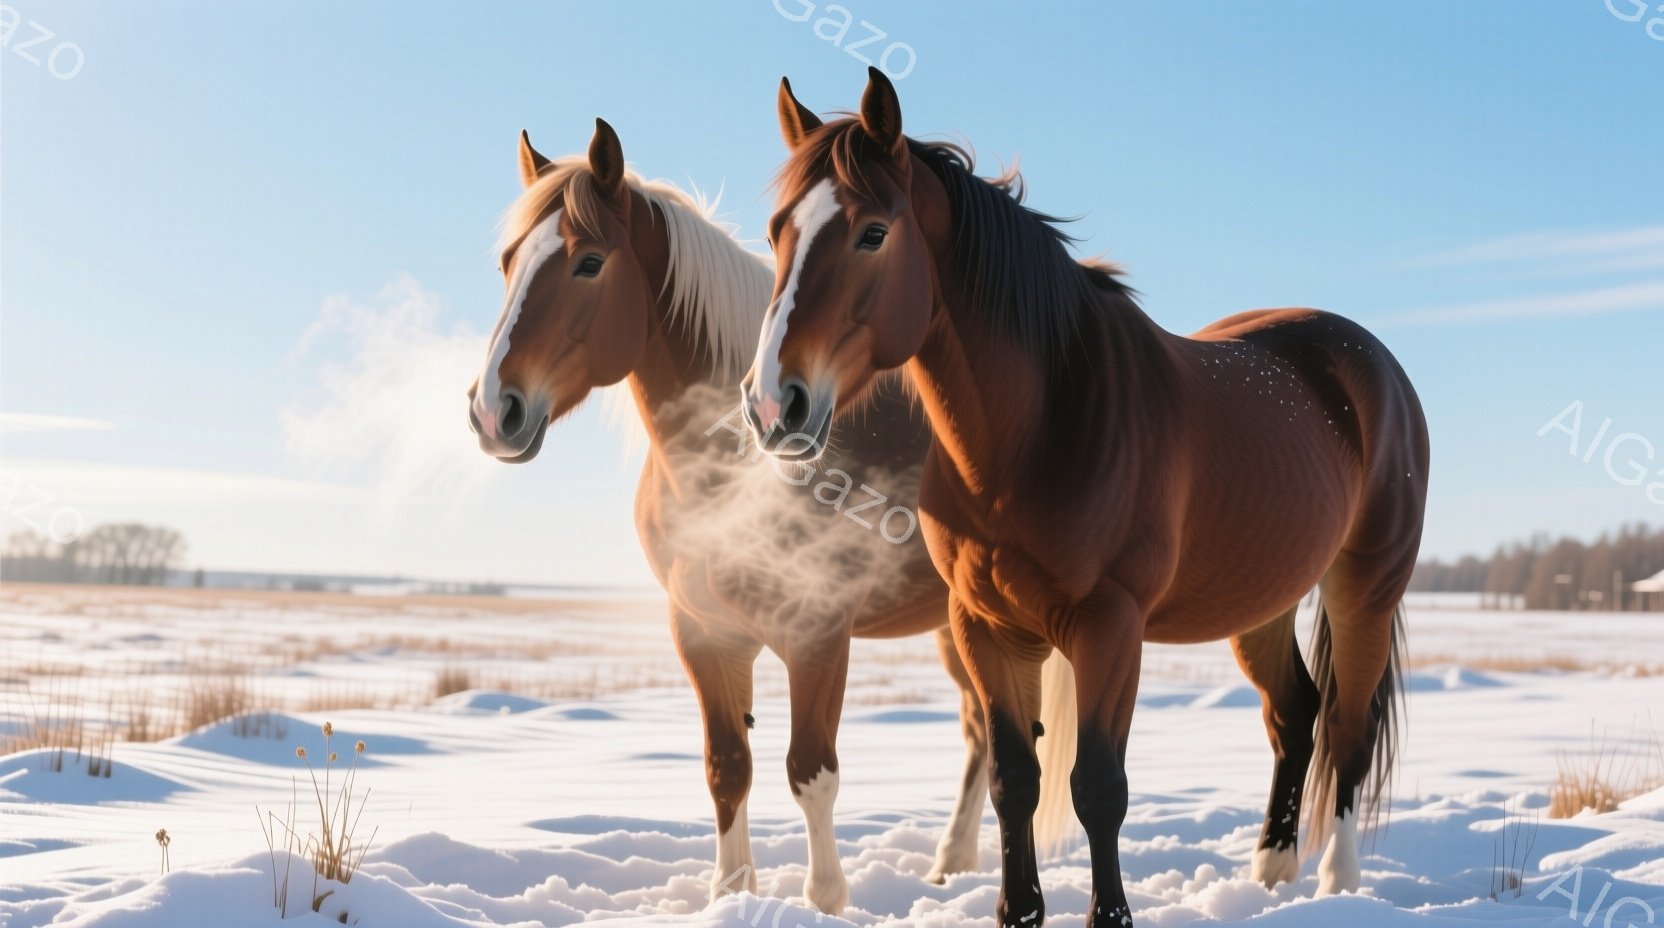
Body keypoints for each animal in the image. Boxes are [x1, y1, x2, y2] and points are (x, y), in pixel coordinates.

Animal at [465, 118, 1039, 914]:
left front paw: (825, 900)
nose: (493, 412)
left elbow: (811, 772)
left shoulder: (817, 634)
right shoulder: (703, 633)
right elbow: (726, 766)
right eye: (508, 263)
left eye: (588, 262)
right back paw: (950, 863)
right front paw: (729, 892)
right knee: (984, 732)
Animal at [742, 70, 1429, 927]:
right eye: (778, 233)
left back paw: (1337, 883)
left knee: (1346, 728)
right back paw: (1273, 873)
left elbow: (1098, 788)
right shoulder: (986, 628)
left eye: (872, 232)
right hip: (1261, 601)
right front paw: (1017, 912)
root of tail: (1366, 361)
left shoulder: (1110, 627)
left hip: (1364, 587)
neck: (1036, 435)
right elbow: (1015, 782)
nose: (774, 404)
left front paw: (1110, 915)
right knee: (1293, 716)